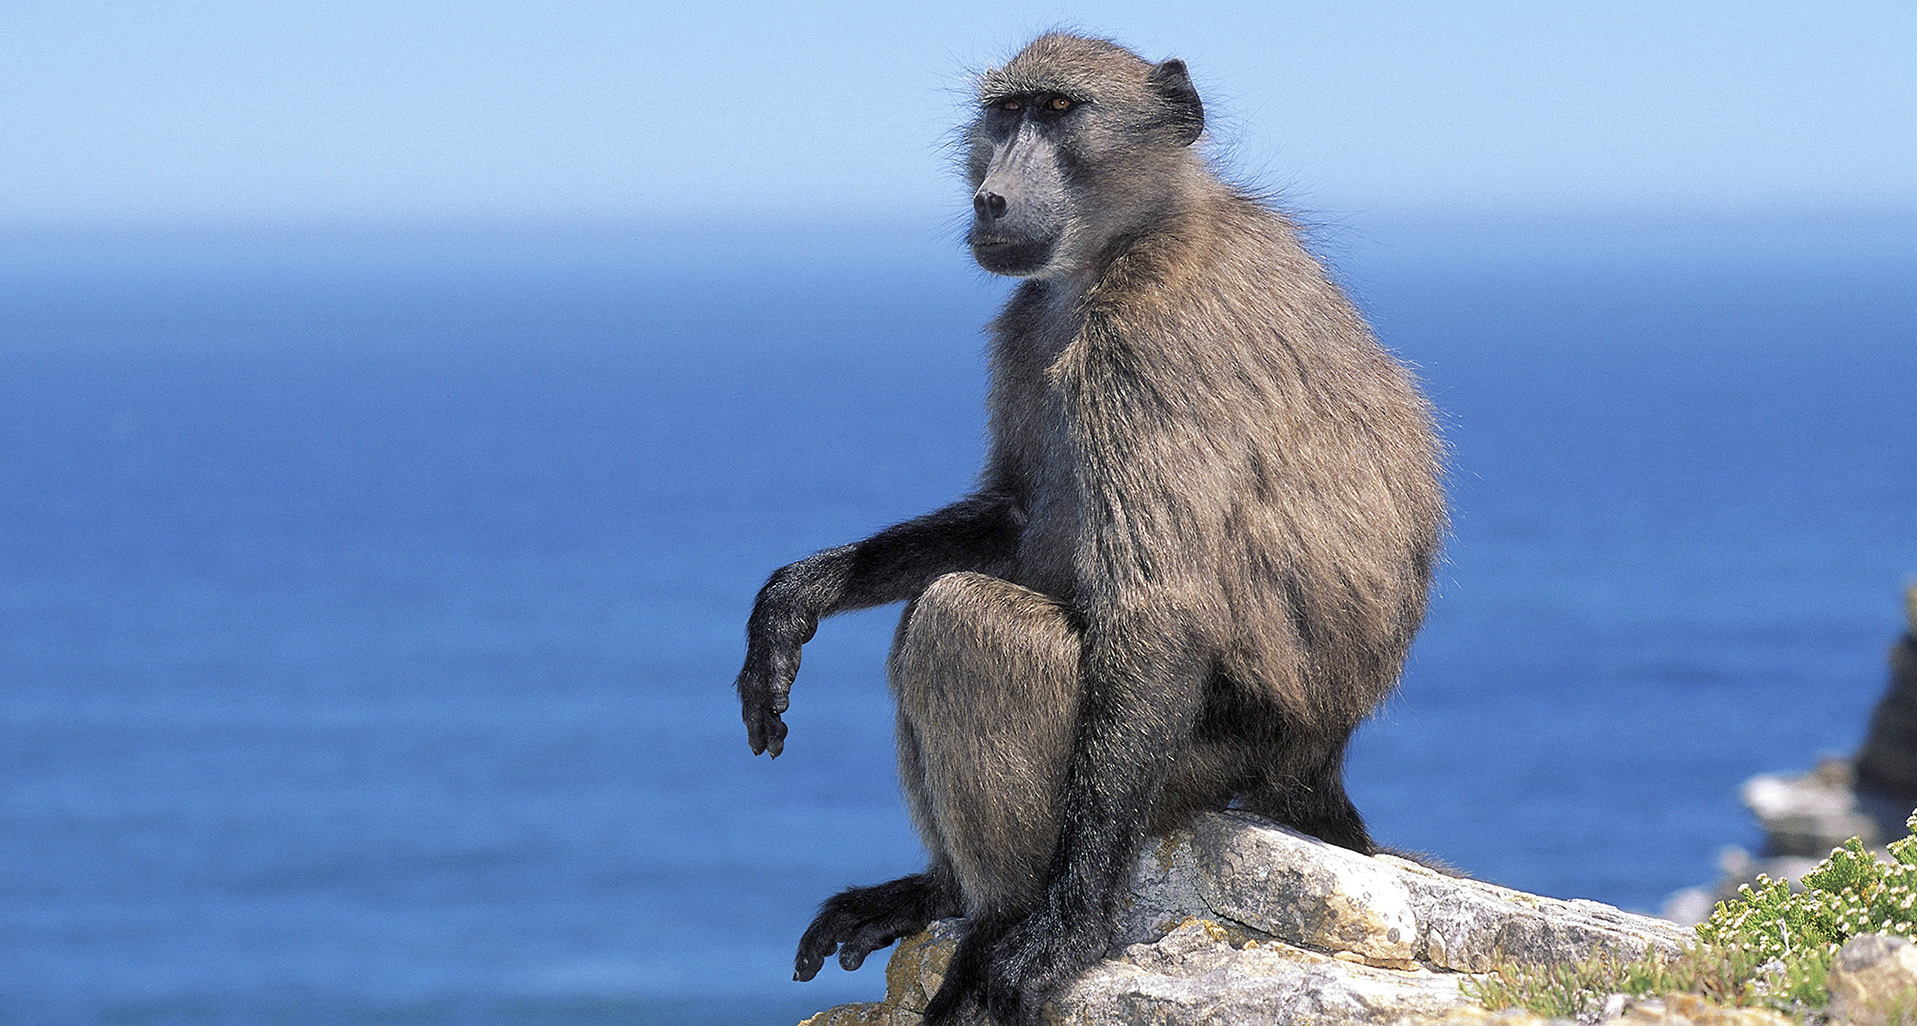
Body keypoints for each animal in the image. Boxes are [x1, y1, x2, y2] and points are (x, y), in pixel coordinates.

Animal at [733, 33, 1445, 1026]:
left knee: (962, 621)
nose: (991, 196)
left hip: (1200, 758)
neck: (1125, 240)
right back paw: (938, 893)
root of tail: (1318, 755)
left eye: (1061, 112)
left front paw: (1060, 933)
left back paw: (997, 917)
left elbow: (1155, 609)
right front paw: (794, 600)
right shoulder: (1030, 322)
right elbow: (1014, 514)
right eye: (1005, 113)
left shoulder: (1145, 348)